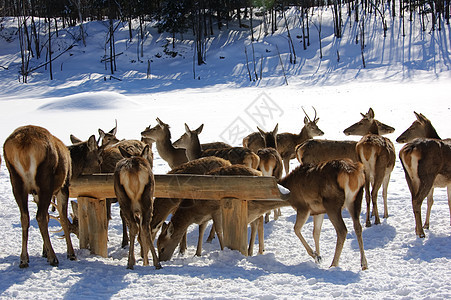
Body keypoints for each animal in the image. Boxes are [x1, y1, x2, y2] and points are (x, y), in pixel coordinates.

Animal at [2, 124, 100, 268]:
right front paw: (69, 253)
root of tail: (24, 143)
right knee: (40, 216)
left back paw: (24, 259)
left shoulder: (36, 194)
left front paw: (45, 252)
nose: (101, 172)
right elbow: (62, 218)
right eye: (99, 160)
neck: (73, 166)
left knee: (25, 217)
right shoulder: (63, 187)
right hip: (45, 181)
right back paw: (54, 258)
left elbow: (49, 216)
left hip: (16, 181)